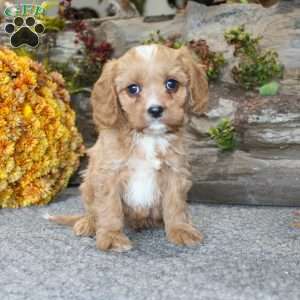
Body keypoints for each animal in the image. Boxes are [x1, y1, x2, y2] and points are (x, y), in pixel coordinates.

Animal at [49, 44, 209, 251]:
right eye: (133, 89)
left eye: (171, 84)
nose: (155, 110)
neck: (148, 137)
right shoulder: (108, 174)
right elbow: (109, 208)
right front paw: (111, 236)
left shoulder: (175, 171)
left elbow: (175, 205)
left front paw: (180, 229)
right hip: (88, 183)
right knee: (92, 211)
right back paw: (89, 223)